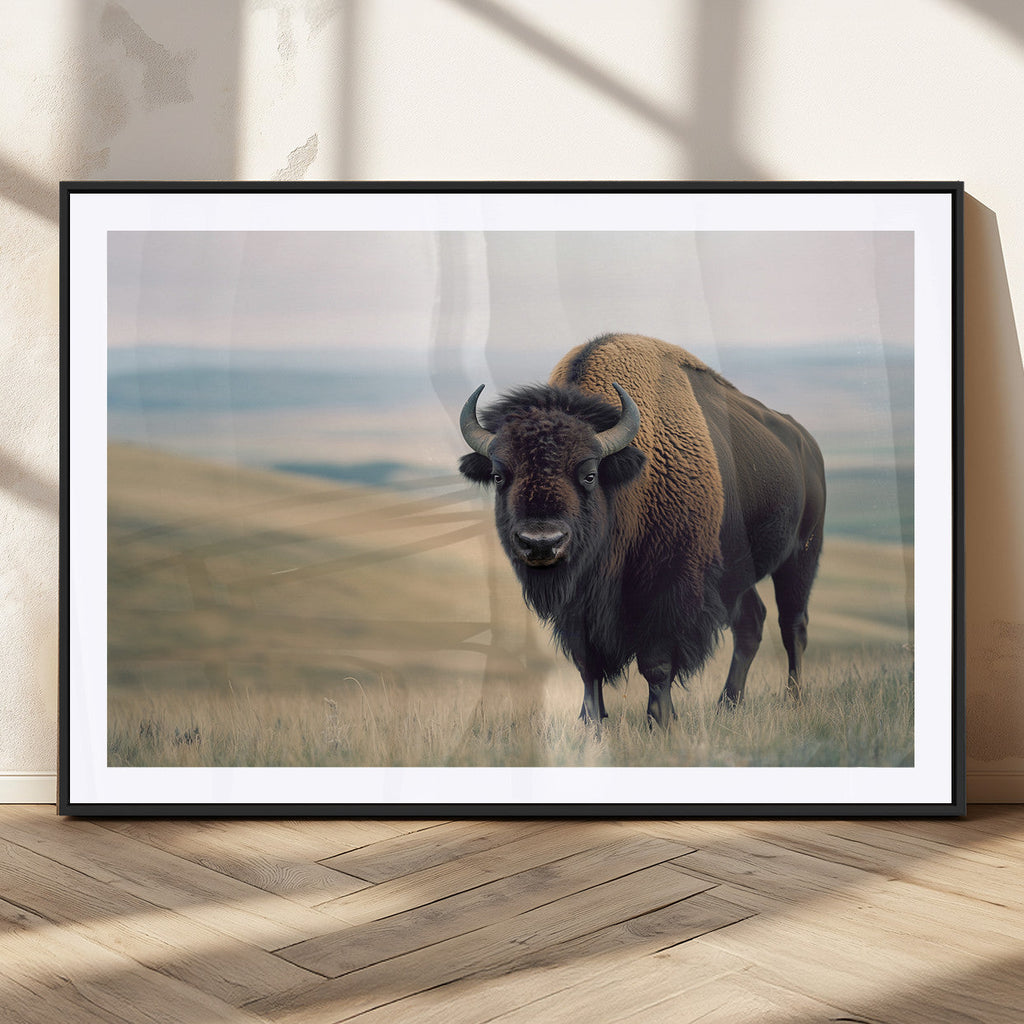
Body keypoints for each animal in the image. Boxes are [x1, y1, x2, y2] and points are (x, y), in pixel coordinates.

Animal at [458, 333, 826, 729]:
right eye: (499, 476)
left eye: (589, 474)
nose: (542, 543)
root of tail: (807, 445)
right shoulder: (578, 608)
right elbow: (588, 665)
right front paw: (591, 722)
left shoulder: (669, 589)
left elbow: (656, 664)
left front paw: (660, 721)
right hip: (736, 574)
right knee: (751, 624)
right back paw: (728, 704)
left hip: (801, 556)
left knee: (793, 626)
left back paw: (793, 700)